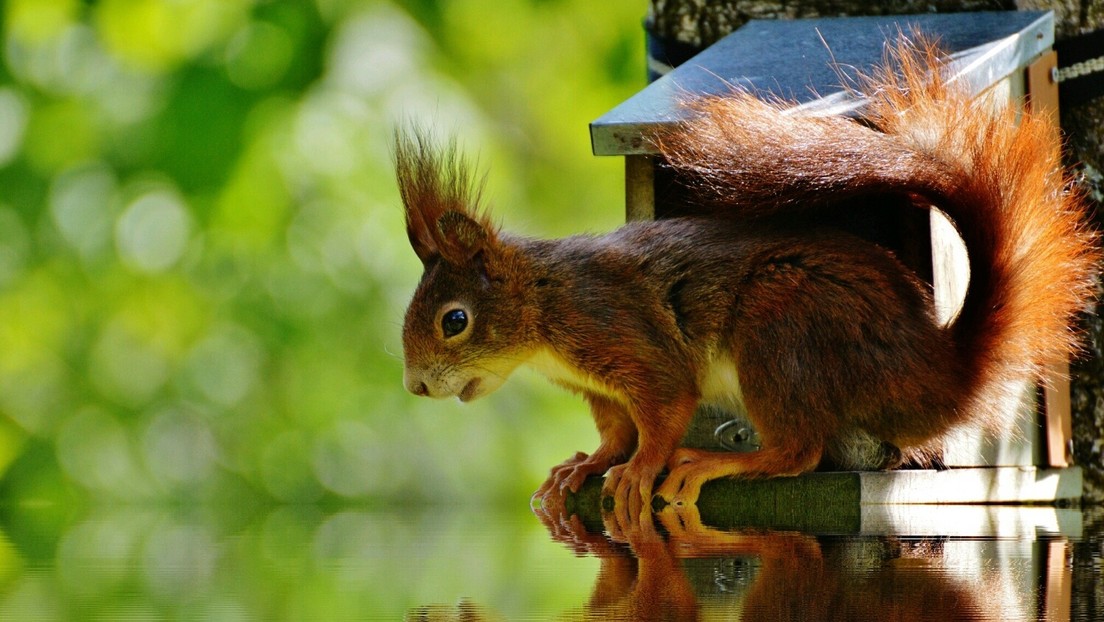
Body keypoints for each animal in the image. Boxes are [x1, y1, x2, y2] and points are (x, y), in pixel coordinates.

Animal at [393, 38, 1099, 508]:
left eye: (455, 321)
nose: (416, 388)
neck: (542, 308)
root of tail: (937, 373)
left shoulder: (616, 330)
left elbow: (664, 407)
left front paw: (639, 470)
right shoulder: (597, 387)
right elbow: (616, 431)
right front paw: (585, 466)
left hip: (780, 325)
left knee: (798, 452)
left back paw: (711, 463)